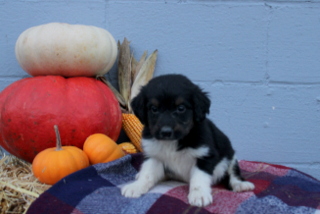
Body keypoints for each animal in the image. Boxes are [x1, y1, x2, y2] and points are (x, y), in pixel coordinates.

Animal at [120, 74, 255, 206]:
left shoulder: (205, 155)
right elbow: (147, 174)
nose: (166, 132)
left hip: (231, 157)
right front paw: (136, 187)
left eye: (181, 108)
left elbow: (199, 177)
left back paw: (240, 184)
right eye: (154, 108)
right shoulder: (154, 156)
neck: (173, 142)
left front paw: (199, 195)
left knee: (233, 174)